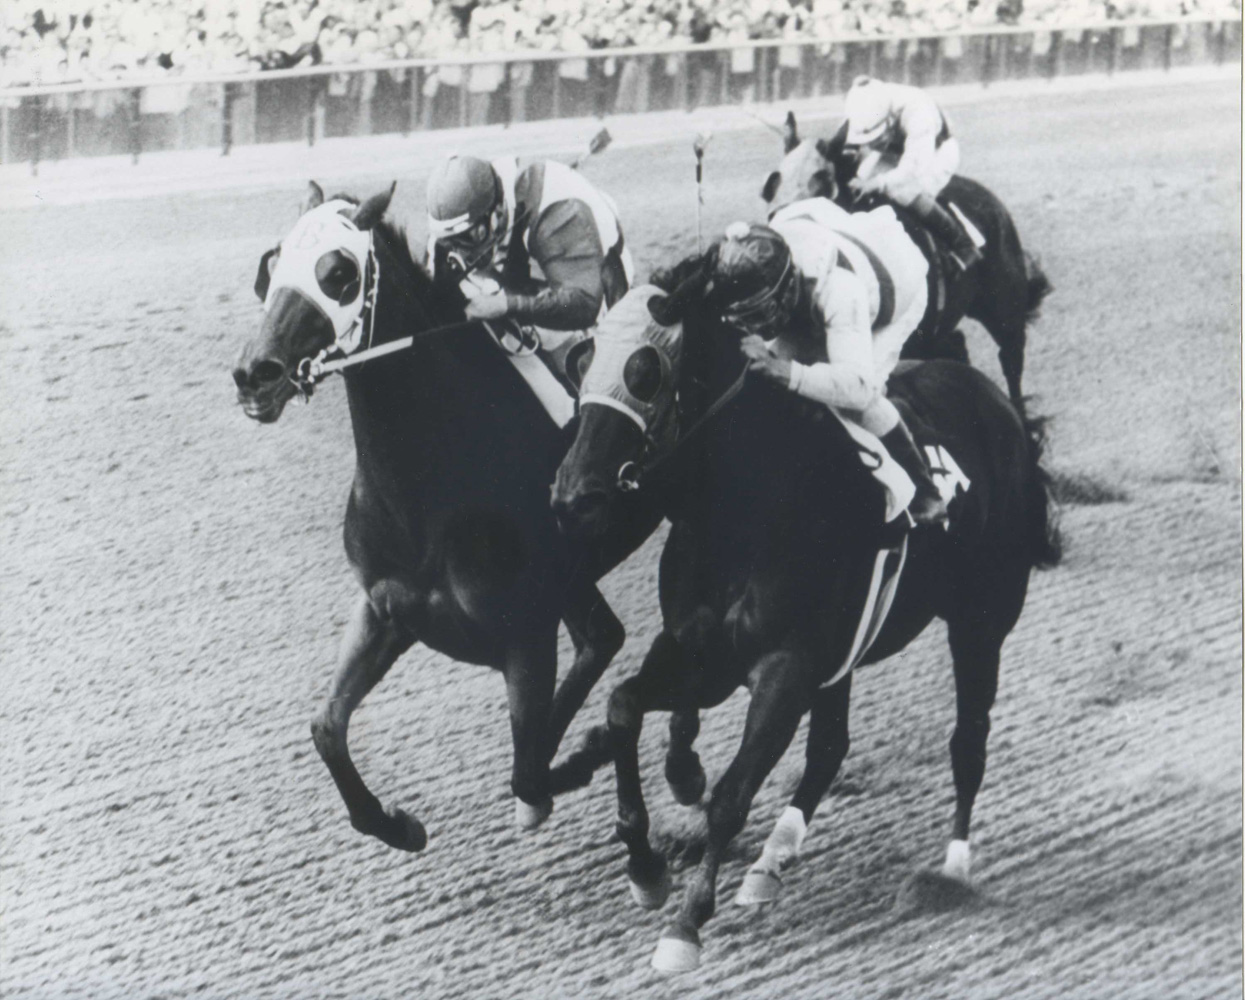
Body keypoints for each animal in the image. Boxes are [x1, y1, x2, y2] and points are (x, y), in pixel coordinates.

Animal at [234, 181, 662, 851]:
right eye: (272, 267)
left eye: (339, 273)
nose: (256, 374)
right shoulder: (385, 609)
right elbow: (325, 726)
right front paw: (398, 824)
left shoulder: (524, 634)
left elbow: (527, 773)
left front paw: (580, 758)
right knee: (603, 636)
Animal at [552, 271, 1060, 971]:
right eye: (581, 363)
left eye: (646, 372)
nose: (573, 495)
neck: (745, 504)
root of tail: (997, 405)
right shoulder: (702, 654)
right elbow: (624, 706)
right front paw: (646, 867)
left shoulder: (785, 670)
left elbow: (731, 796)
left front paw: (685, 922)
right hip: (844, 655)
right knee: (829, 748)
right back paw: (771, 862)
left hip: (981, 622)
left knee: (968, 739)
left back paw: (951, 873)